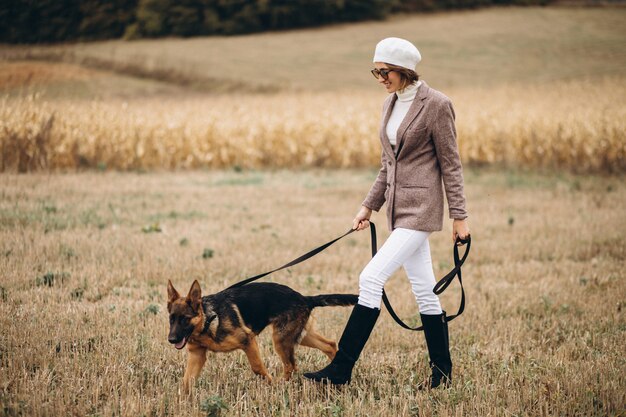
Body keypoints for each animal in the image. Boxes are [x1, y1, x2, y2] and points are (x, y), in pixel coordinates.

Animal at [166, 280, 356, 390]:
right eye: (171, 319)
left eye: (185, 319)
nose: (171, 340)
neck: (208, 319)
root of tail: (304, 298)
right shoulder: (196, 355)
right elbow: (186, 381)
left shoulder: (248, 340)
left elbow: (257, 368)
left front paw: (270, 383)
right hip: (300, 336)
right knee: (330, 345)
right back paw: (339, 378)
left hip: (281, 340)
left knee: (291, 366)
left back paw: (281, 386)